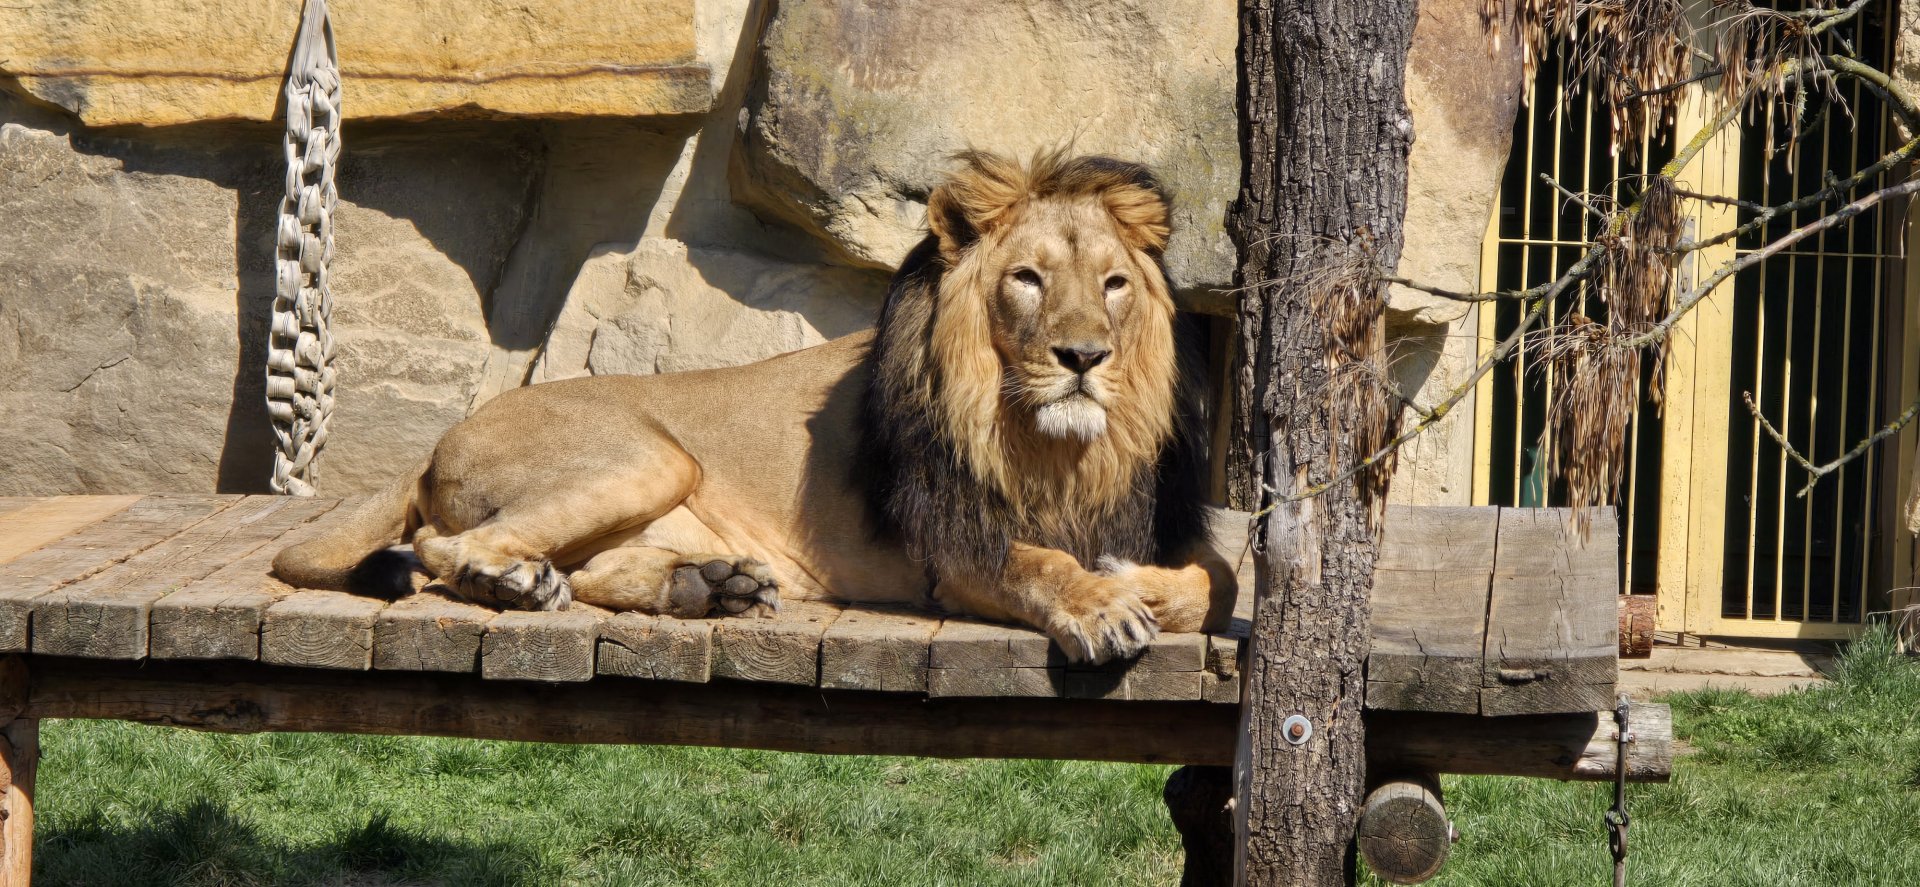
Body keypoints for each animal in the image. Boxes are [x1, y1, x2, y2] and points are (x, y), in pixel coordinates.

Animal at [273, 149, 1236, 664]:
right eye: (1028, 279)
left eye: (1113, 285)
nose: (1084, 358)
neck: (1054, 446)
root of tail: (440, 440)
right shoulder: (951, 547)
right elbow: (1040, 562)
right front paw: (1102, 603)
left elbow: (1211, 584)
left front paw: (1133, 580)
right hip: (650, 454)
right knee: (447, 545)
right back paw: (516, 583)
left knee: (586, 566)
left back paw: (709, 585)